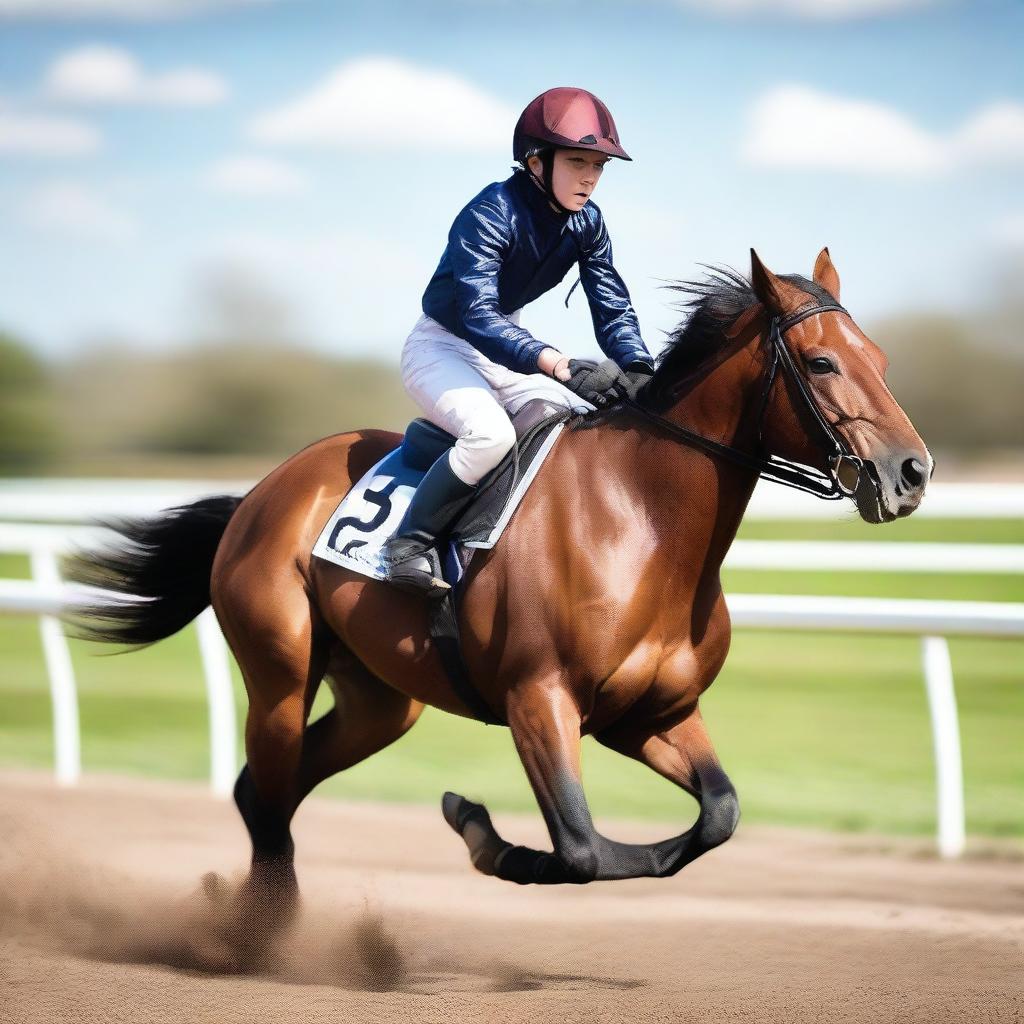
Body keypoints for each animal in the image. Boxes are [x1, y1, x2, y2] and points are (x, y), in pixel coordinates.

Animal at [61, 247, 929, 929]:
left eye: (884, 360)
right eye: (821, 363)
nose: (911, 472)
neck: (643, 524)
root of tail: (262, 492)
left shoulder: (651, 714)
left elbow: (716, 815)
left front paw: (483, 829)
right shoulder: (538, 699)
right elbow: (582, 850)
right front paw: (481, 832)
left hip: (381, 702)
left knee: (263, 791)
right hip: (279, 675)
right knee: (268, 796)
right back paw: (259, 934)